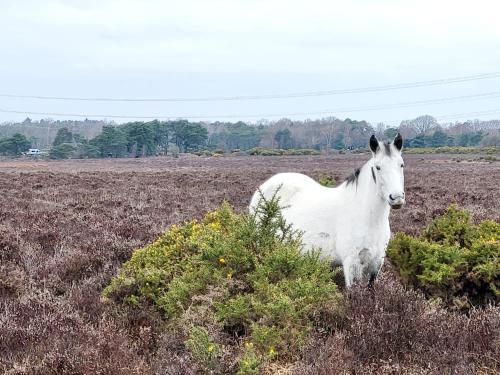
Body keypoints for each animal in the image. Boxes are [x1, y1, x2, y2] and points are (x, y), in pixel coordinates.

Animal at [250, 134, 406, 286]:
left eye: (401, 164)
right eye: (378, 167)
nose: (397, 198)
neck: (368, 217)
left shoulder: (376, 263)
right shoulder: (351, 263)